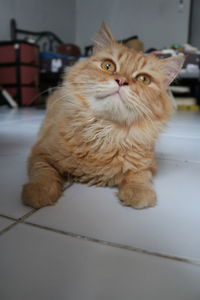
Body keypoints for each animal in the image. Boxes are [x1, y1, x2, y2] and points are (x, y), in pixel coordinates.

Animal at [21, 22, 184, 209]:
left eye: (143, 79)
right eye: (108, 66)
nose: (121, 81)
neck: (104, 130)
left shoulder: (146, 164)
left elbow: (139, 175)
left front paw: (139, 191)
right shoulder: (40, 153)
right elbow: (43, 172)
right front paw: (39, 190)